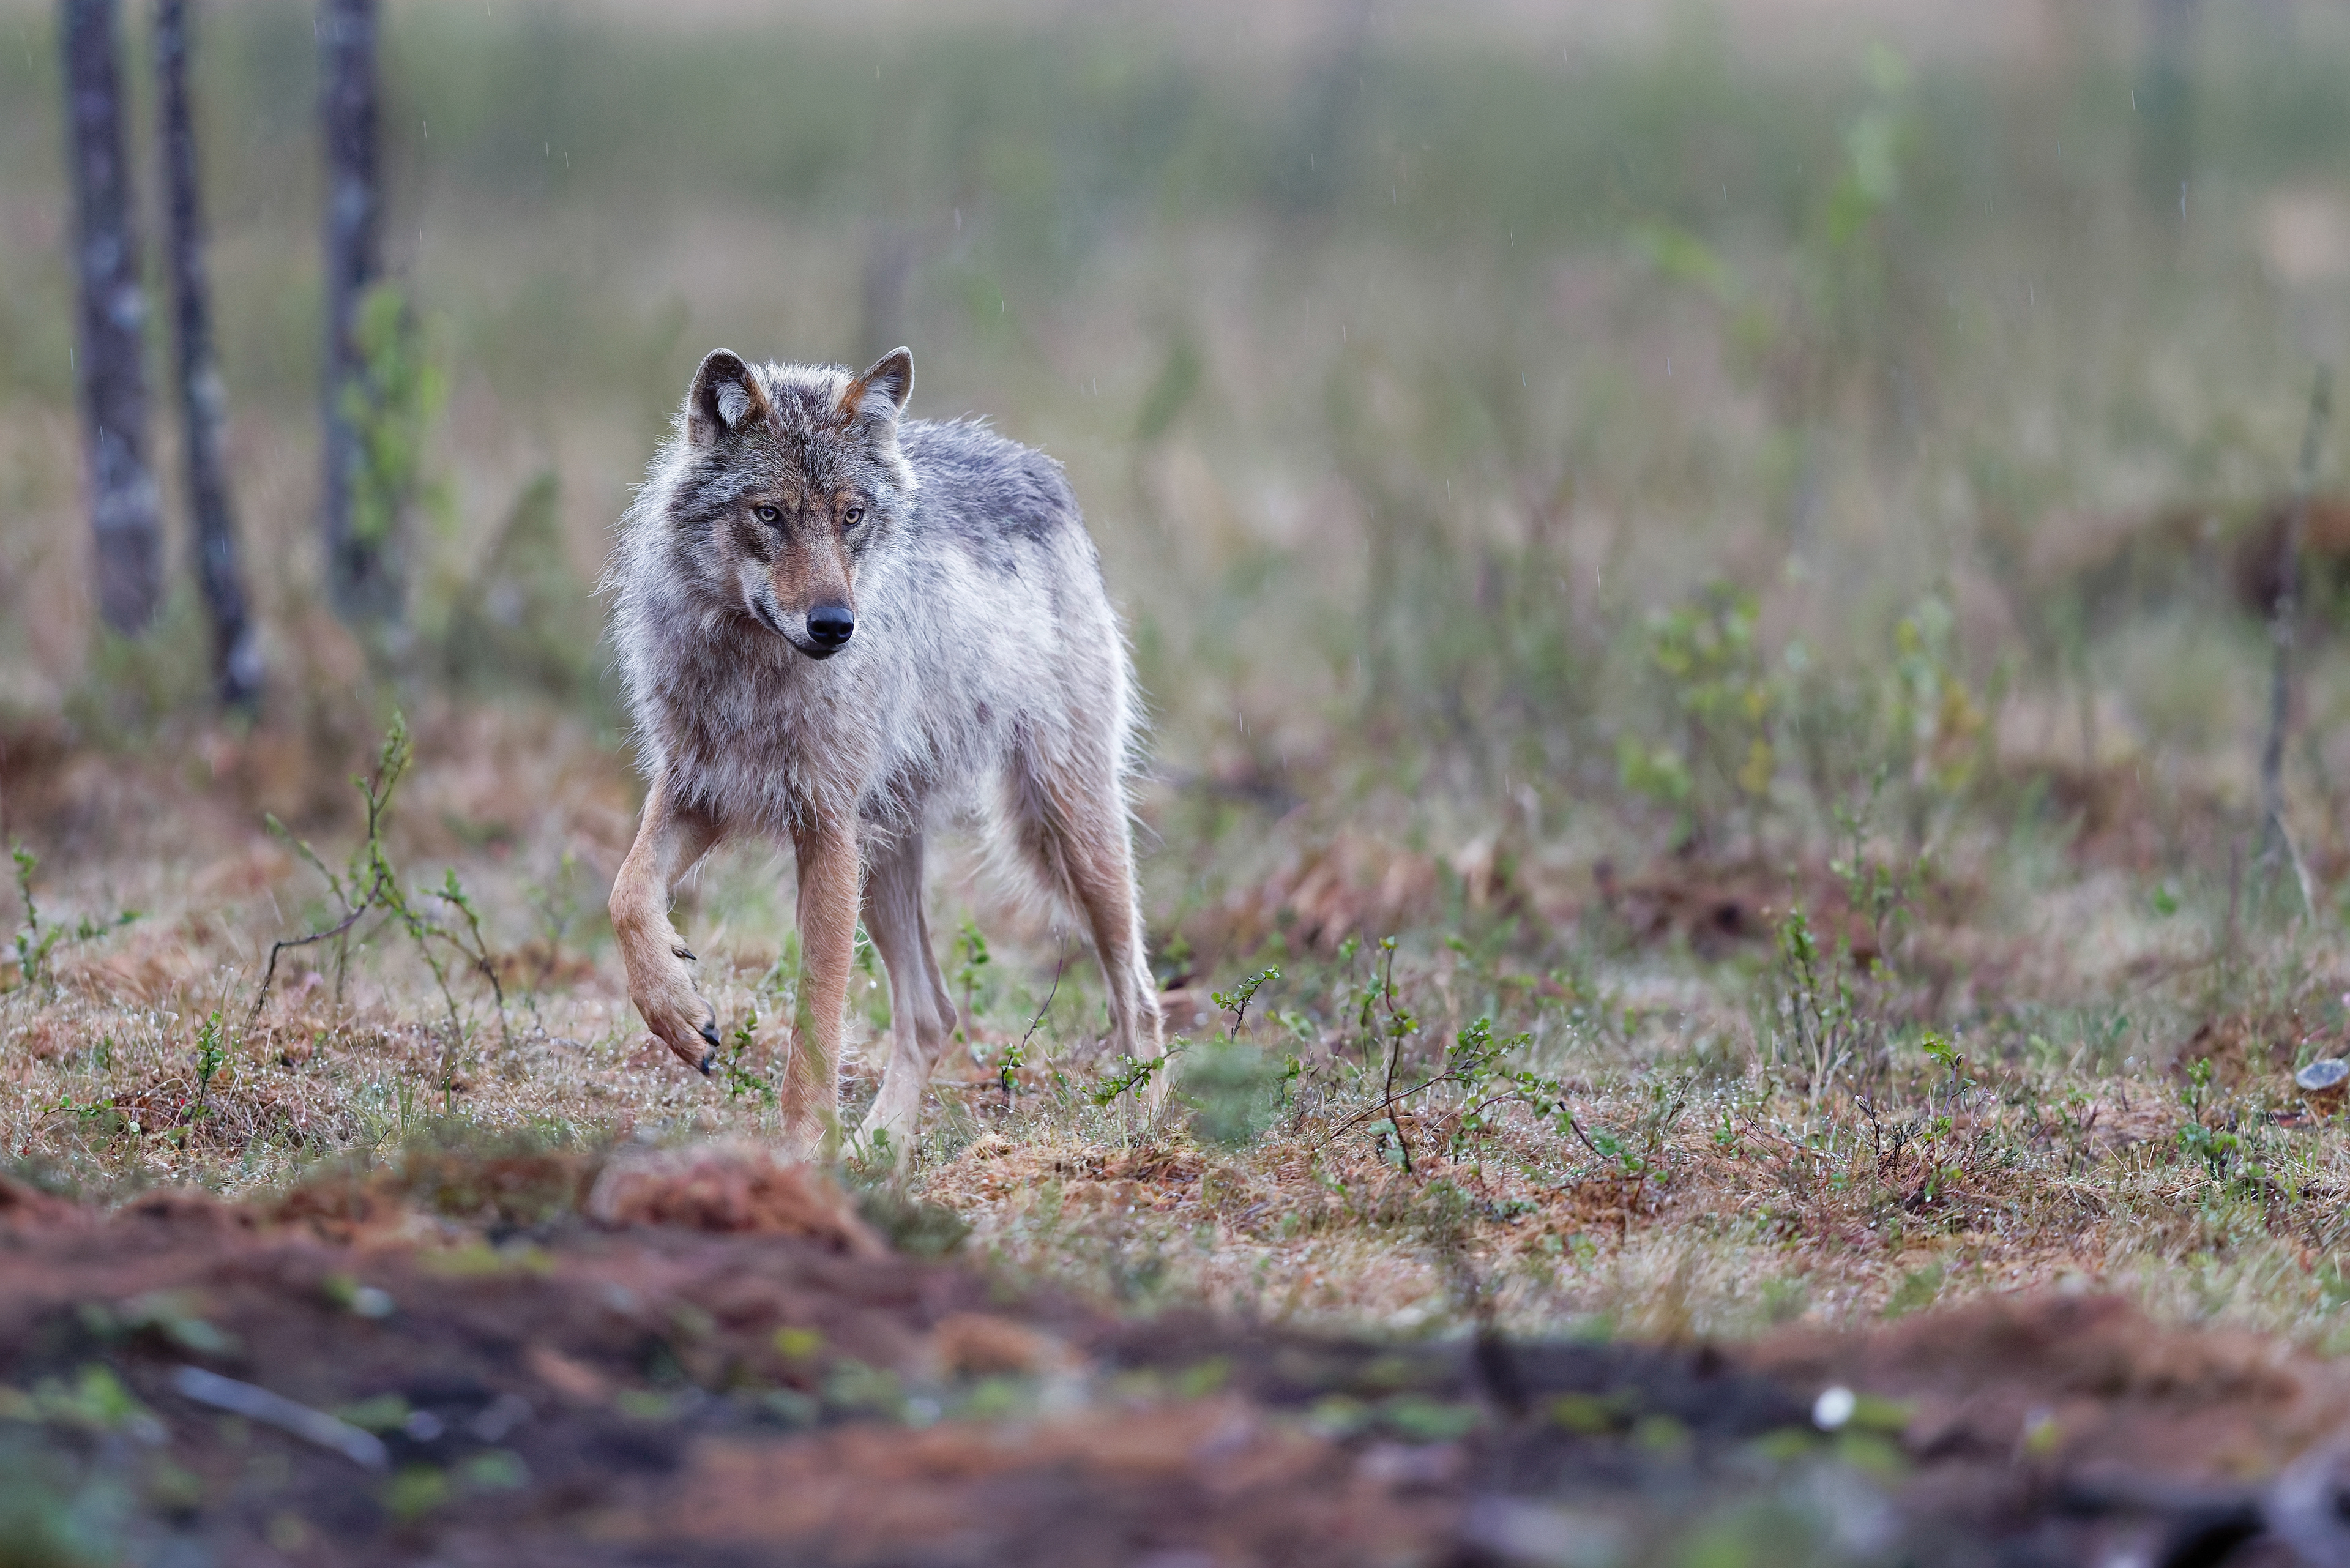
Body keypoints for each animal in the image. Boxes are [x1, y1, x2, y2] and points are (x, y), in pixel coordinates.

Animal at [604, 345, 1165, 1159]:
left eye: (851, 516)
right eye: (770, 513)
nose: (837, 626)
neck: (750, 668)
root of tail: (1036, 467)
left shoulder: (826, 830)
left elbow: (816, 1028)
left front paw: (802, 1158)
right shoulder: (702, 790)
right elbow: (626, 896)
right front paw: (675, 1010)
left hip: (1061, 835)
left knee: (1140, 995)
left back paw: (1144, 1134)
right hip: (888, 854)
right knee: (934, 1015)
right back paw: (878, 1152)